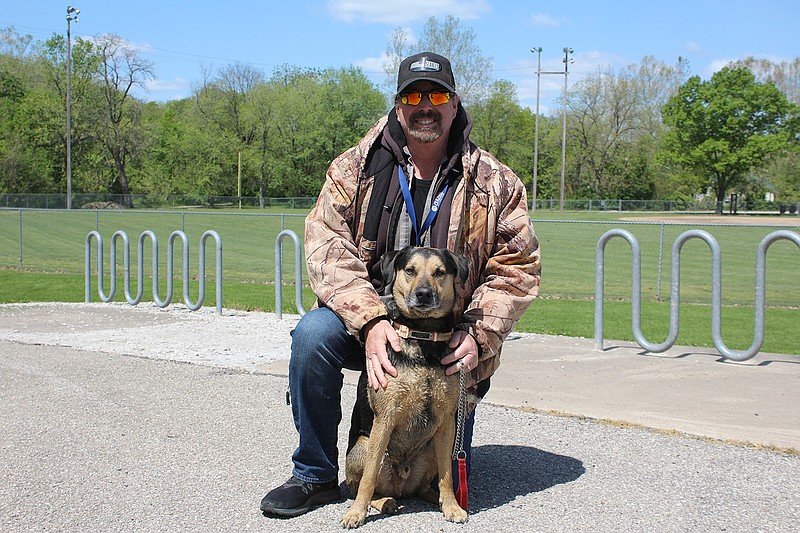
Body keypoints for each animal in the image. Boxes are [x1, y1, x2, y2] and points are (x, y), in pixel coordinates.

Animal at [342, 246, 468, 528]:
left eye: (439, 272)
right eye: (410, 270)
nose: (423, 294)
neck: (423, 337)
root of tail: (400, 484)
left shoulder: (446, 421)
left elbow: (447, 475)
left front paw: (452, 506)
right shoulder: (385, 418)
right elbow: (368, 479)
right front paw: (356, 513)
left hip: (430, 449)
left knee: (424, 486)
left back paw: (437, 498)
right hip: (362, 446)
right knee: (362, 486)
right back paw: (383, 502)